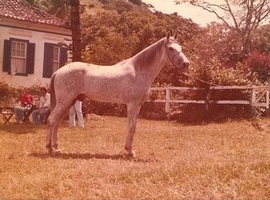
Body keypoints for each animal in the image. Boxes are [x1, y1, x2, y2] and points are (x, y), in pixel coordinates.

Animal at [46, 32, 190, 156]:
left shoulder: (138, 105)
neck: (138, 70)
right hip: (64, 101)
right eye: (171, 48)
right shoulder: (132, 104)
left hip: (69, 102)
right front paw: (129, 151)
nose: (186, 64)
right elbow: (131, 126)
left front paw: (129, 149)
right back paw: (49, 148)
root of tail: (58, 71)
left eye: (180, 47)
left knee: (56, 122)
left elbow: (134, 126)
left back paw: (56, 147)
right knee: (52, 120)